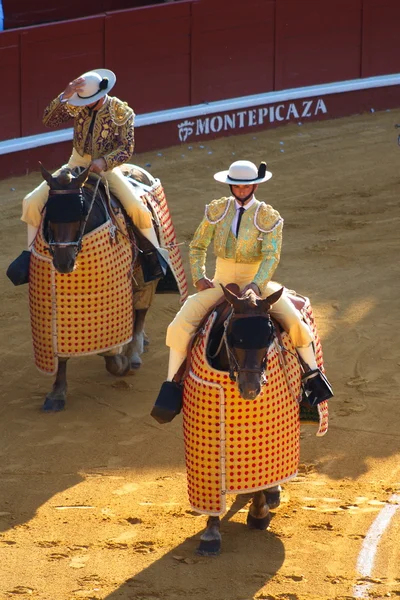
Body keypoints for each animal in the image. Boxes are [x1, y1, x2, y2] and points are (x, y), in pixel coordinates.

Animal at [29, 162, 166, 410]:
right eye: (49, 212)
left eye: (82, 211)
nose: (63, 263)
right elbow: (59, 348)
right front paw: (57, 393)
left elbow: (112, 352)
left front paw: (121, 361)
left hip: (144, 273)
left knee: (141, 307)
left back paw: (133, 353)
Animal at [181, 284, 328, 556]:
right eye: (232, 336)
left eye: (269, 336)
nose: (250, 390)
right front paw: (211, 533)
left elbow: (263, 478)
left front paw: (259, 513)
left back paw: (273, 494)